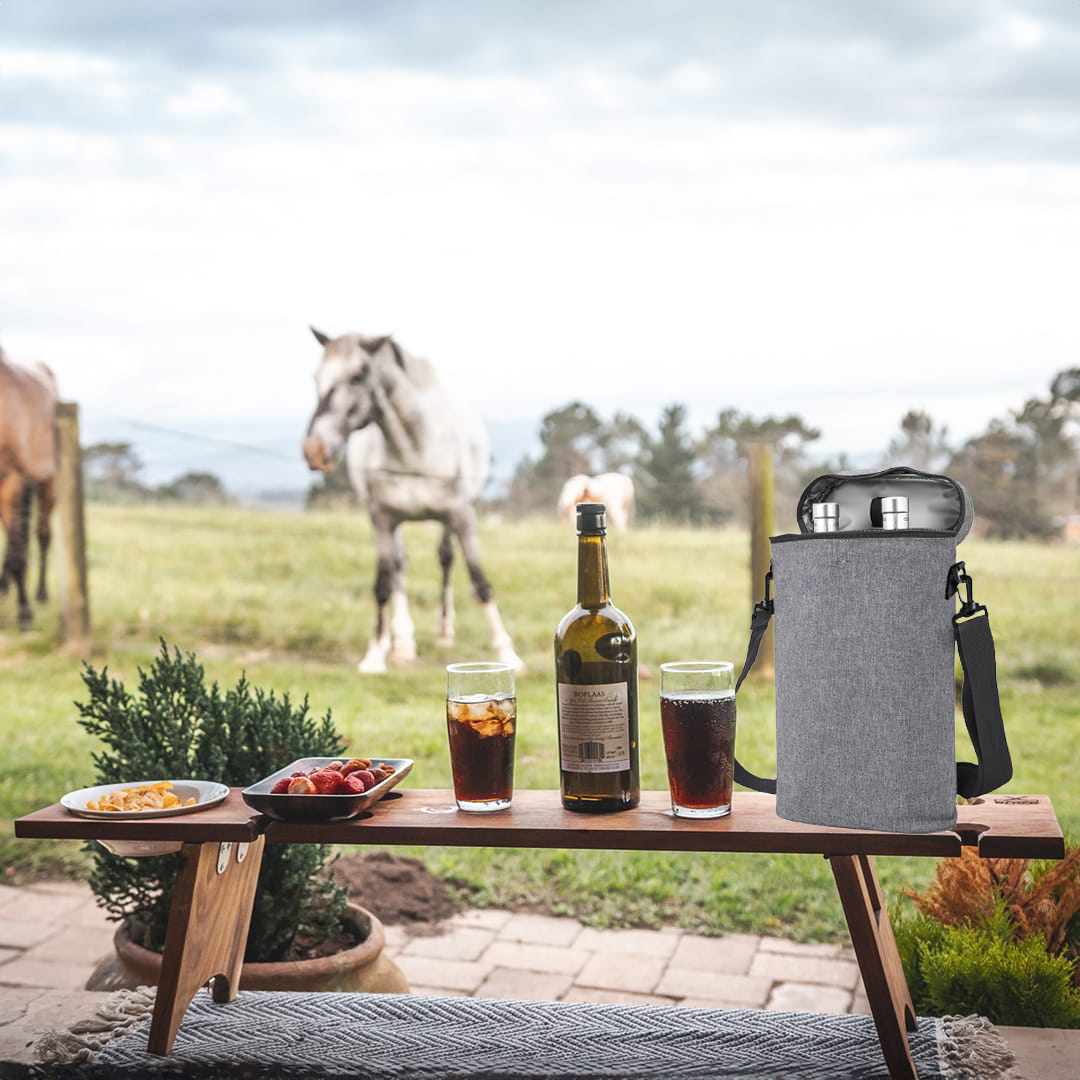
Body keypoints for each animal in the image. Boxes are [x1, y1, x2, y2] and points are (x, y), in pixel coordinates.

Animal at [302, 324, 524, 669]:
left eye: (358, 375)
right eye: (317, 377)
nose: (314, 450)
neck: (412, 449)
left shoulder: (461, 513)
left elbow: (479, 582)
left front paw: (507, 651)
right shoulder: (380, 517)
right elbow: (383, 583)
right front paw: (375, 654)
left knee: (446, 558)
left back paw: (444, 630)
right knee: (399, 566)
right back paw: (401, 640)